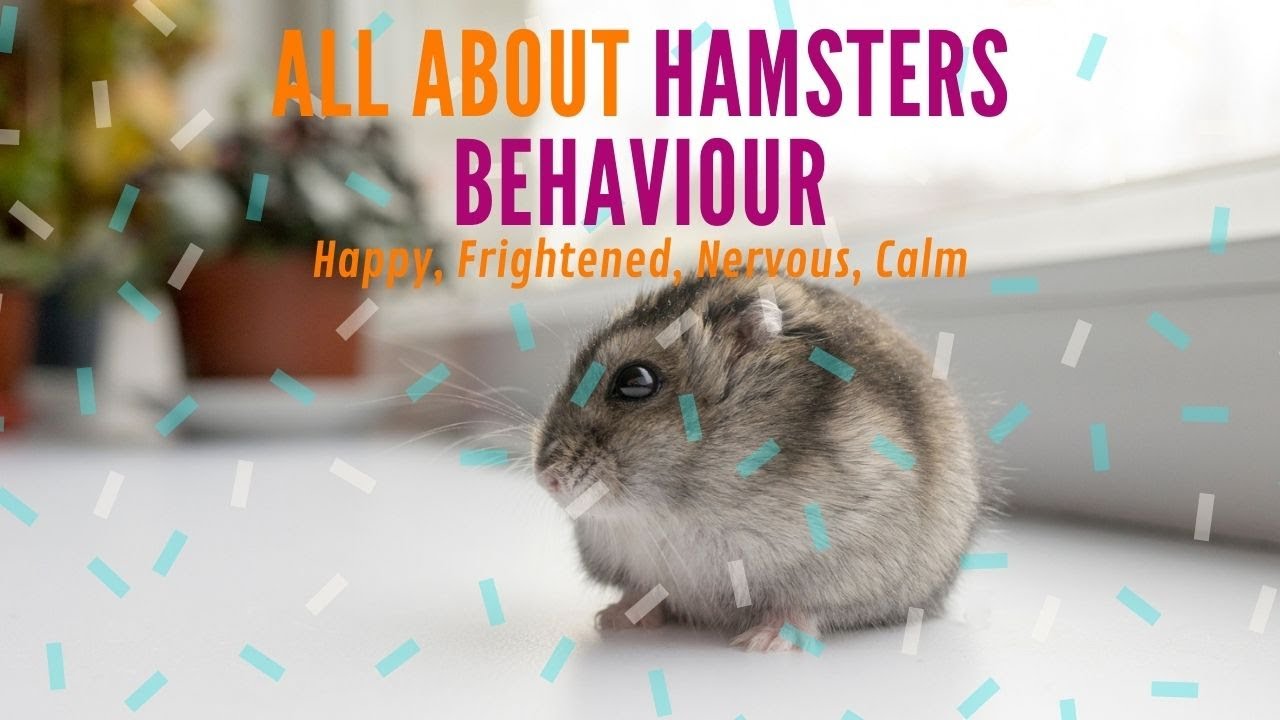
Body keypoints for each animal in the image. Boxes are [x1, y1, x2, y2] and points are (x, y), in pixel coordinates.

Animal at [533, 274, 990, 651]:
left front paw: (760, 642)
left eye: (636, 381)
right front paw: (610, 618)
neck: (671, 508)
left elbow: (802, 608)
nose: (546, 479)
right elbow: (642, 592)